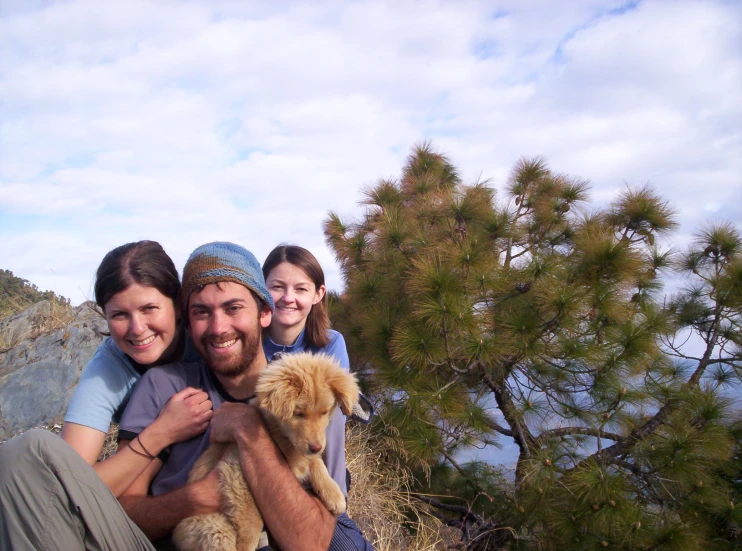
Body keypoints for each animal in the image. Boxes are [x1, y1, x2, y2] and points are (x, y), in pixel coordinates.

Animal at [174, 354, 360, 551]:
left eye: (324, 413)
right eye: (299, 413)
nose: (316, 447)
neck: (282, 437)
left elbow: (316, 462)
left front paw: (333, 493)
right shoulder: (236, 469)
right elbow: (252, 519)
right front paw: (247, 544)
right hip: (216, 529)